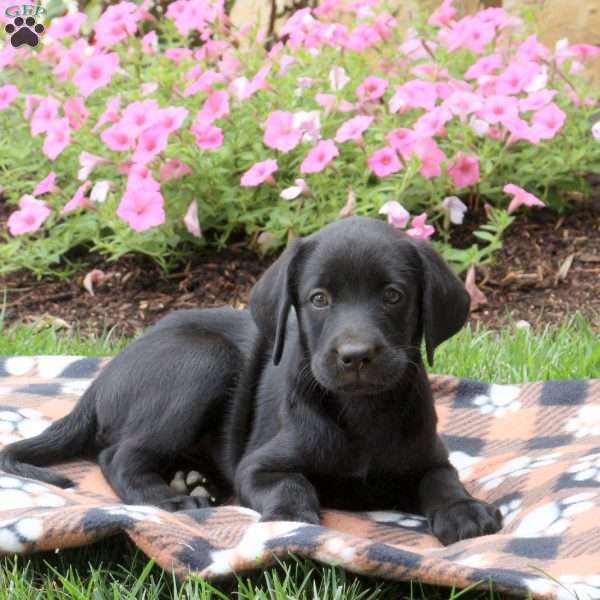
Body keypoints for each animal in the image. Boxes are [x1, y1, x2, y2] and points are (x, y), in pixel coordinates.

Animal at [1, 216, 502, 544]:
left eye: (394, 296)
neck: (361, 413)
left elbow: (443, 482)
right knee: (118, 455)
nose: (355, 356)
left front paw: (464, 511)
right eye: (319, 299)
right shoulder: (259, 465)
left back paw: (191, 480)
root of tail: (99, 383)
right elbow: (290, 484)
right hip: (204, 360)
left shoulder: (430, 457)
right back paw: (172, 500)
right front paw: (292, 517)